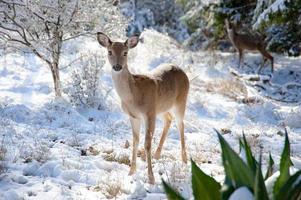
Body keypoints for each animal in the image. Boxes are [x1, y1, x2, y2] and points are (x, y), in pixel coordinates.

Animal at [96, 32, 188, 184]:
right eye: (109, 52)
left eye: (125, 52)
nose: (117, 66)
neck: (133, 95)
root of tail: (181, 70)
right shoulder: (134, 116)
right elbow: (135, 141)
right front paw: (131, 172)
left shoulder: (148, 112)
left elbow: (146, 144)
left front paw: (151, 178)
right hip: (161, 108)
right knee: (169, 119)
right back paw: (157, 155)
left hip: (181, 101)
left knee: (181, 125)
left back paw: (184, 161)